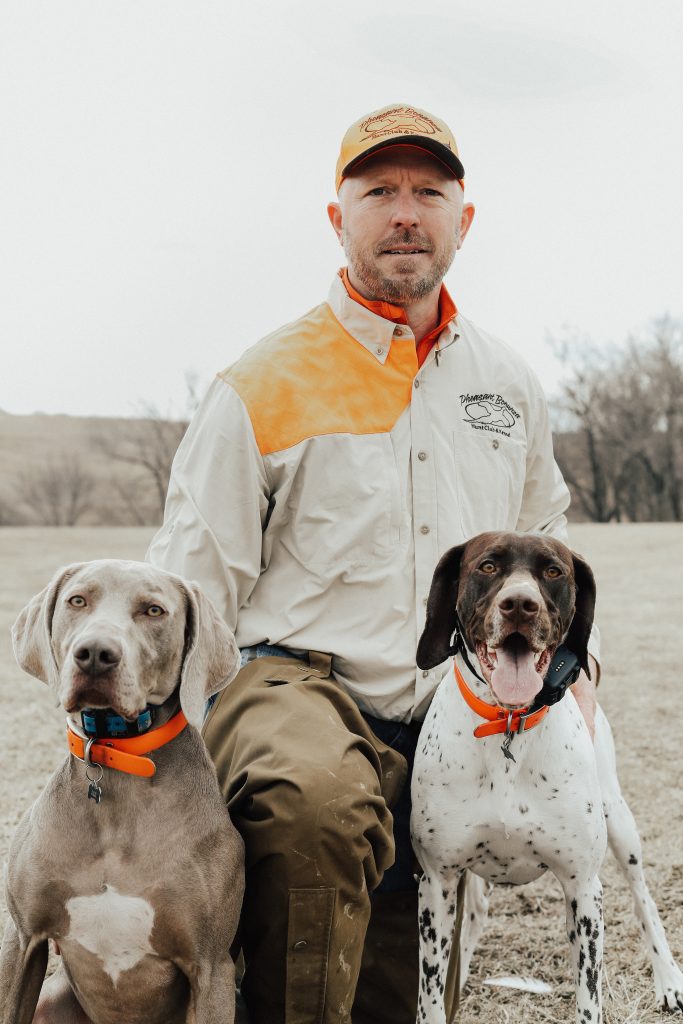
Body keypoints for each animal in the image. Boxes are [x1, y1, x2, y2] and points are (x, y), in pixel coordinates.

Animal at [0, 561, 245, 1024]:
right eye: (77, 600)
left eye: (154, 610)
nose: (95, 653)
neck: (116, 756)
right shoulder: (21, 940)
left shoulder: (212, 968)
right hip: (51, 997)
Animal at [411, 532, 683, 1019]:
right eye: (487, 566)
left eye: (553, 571)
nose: (520, 604)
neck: (507, 725)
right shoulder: (437, 884)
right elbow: (430, 996)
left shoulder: (583, 886)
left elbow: (589, 997)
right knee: (476, 912)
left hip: (620, 824)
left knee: (643, 900)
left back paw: (668, 978)